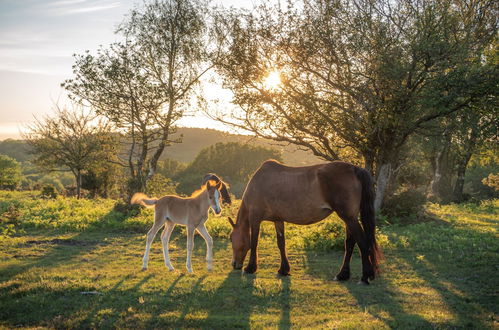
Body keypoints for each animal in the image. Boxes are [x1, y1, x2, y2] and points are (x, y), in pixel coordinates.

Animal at [229, 160, 382, 284]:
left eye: (231, 238)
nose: (234, 264)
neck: (259, 183)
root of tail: (355, 169)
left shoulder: (255, 218)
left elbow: (254, 242)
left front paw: (250, 268)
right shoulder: (278, 219)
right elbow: (281, 243)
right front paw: (284, 270)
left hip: (349, 218)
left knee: (362, 242)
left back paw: (365, 277)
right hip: (349, 218)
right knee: (350, 243)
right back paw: (342, 275)